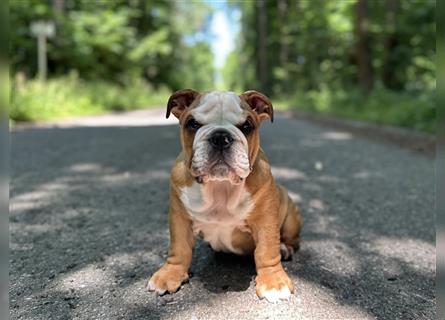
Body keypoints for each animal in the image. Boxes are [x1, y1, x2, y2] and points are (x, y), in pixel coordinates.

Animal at [148, 89, 302, 302]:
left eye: (247, 126)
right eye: (192, 124)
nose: (221, 137)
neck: (220, 186)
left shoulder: (266, 221)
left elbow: (267, 250)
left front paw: (273, 282)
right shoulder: (180, 218)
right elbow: (179, 249)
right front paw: (169, 274)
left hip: (291, 217)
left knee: (290, 240)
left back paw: (284, 248)